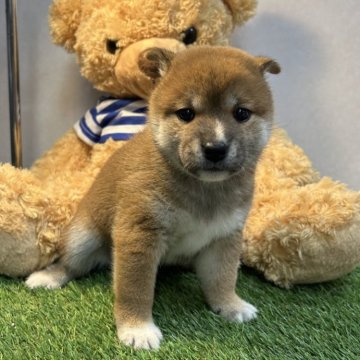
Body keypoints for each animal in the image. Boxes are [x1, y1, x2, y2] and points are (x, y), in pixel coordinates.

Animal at [27, 46, 282, 350]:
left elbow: (222, 279)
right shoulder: (139, 233)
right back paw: (49, 276)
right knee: (69, 264)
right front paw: (137, 328)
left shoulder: (223, 238)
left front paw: (230, 305)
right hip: (81, 239)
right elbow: (135, 290)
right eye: (186, 114)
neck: (202, 190)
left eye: (241, 113)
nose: (215, 148)